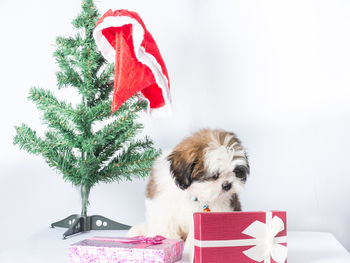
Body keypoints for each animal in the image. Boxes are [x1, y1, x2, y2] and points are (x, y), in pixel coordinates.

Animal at [129, 129, 249, 260]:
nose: (227, 185)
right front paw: (164, 237)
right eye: (214, 175)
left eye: (235, 172)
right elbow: (164, 222)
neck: (194, 192)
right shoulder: (162, 201)